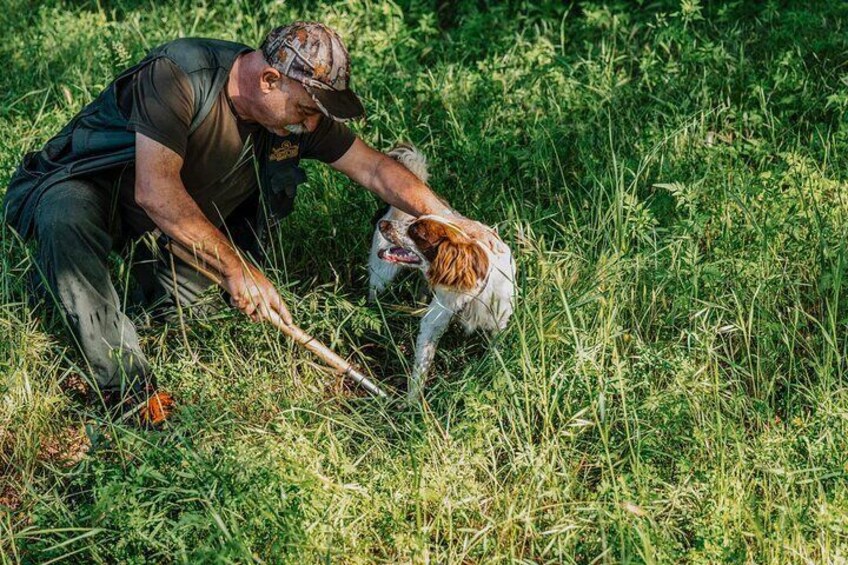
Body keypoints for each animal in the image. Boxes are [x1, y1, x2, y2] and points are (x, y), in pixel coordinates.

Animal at [372, 145, 516, 400]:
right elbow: (421, 368)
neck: (474, 292)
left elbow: (494, 352)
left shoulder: (499, 321)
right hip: (380, 276)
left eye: (416, 232)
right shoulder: (434, 321)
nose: (382, 225)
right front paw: (413, 403)